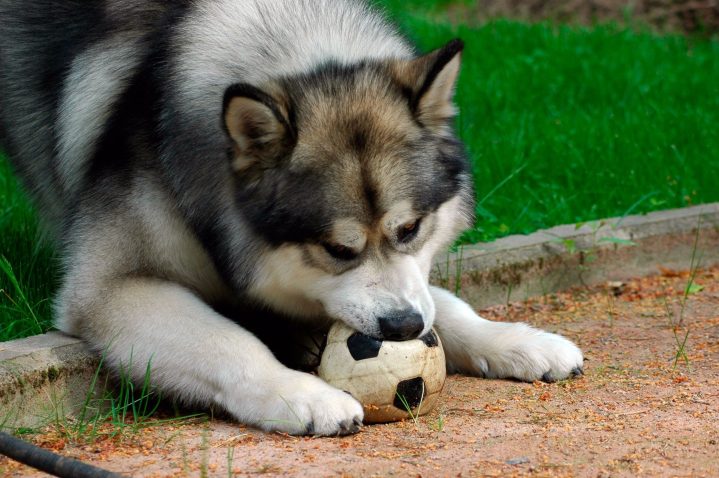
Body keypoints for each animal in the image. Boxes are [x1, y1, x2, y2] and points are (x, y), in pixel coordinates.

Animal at [0, 0, 584, 436]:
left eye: (410, 229)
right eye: (337, 249)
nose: (402, 329)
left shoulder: (410, 285)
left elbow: (444, 304)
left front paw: (515, 341)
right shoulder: (113, 289)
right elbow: (227, 340)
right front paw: (300, 392)